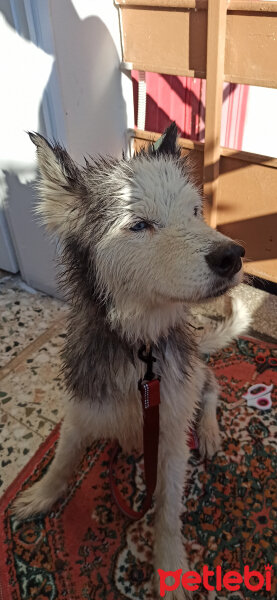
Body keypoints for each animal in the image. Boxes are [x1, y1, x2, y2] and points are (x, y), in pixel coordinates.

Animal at [14, 123, 249, 600]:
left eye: (195, 211)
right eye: (139, 225)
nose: (232, 256)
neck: (140, 354)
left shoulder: (172, 435)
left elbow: (167, 511)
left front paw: (169, 565)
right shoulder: (80, 409)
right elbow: (63, 460)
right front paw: (43, 494)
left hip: (195, 372)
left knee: (211, 387)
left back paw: (210, 431)